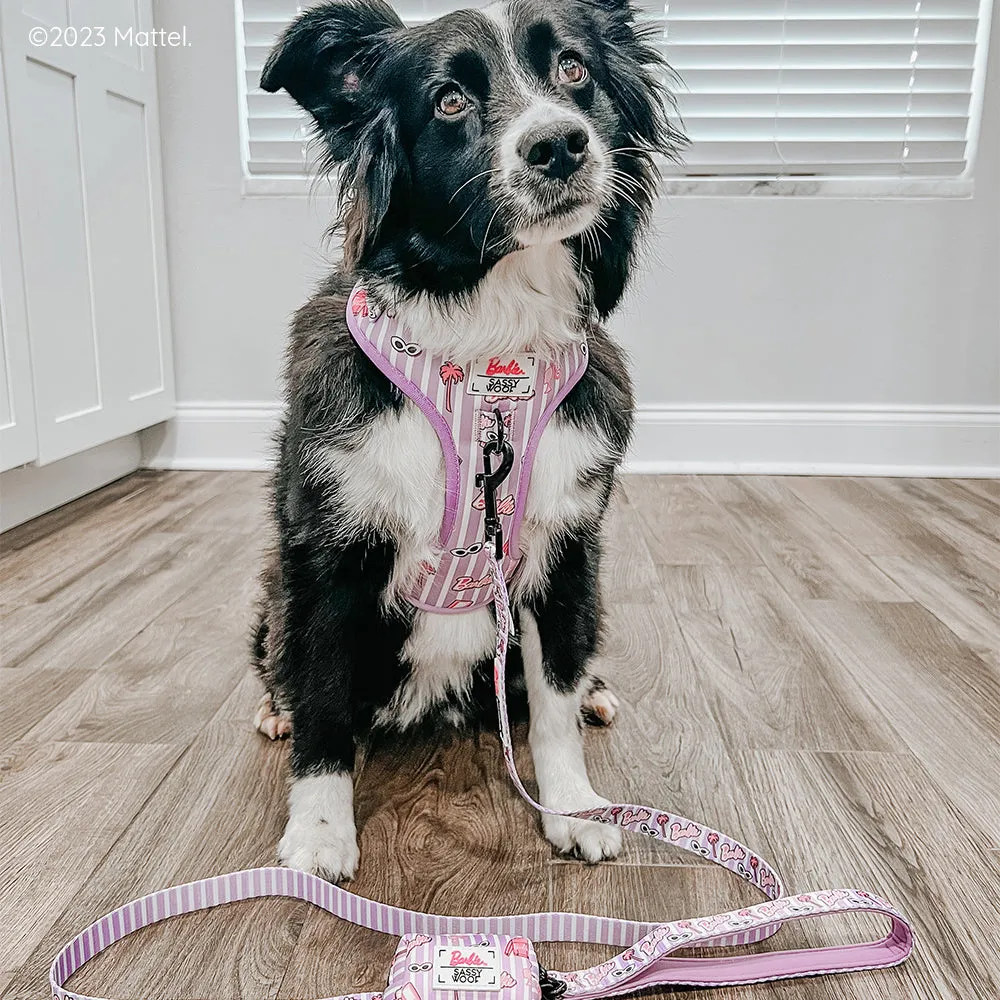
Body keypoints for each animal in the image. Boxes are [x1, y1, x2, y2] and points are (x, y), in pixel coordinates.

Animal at [250, 0, 680, 884]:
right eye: (449, 100)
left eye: (574, 68)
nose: (560, 144)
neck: (488, 354)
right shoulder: (326, 555)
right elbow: (322, 698)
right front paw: (318, 833)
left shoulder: (565, 548)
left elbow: (552, 698)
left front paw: (572, 807)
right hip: (275, 586)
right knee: (278, 659)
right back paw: (273, 710)